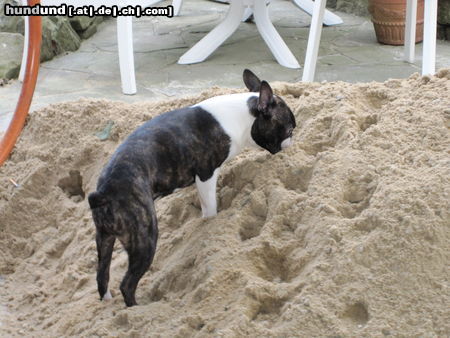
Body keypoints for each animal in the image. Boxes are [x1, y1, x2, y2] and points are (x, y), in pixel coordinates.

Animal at [89, 70, 298, 308]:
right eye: (289, 129)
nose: (292, 141)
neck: (244, 115)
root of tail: (104, 193)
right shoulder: (206, 174)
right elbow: (210, 207)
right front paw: (211, 221)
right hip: (144, 237)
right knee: (127, 284)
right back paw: (135, 309)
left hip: (104, 238)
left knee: (102, 275)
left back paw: (106, 301)